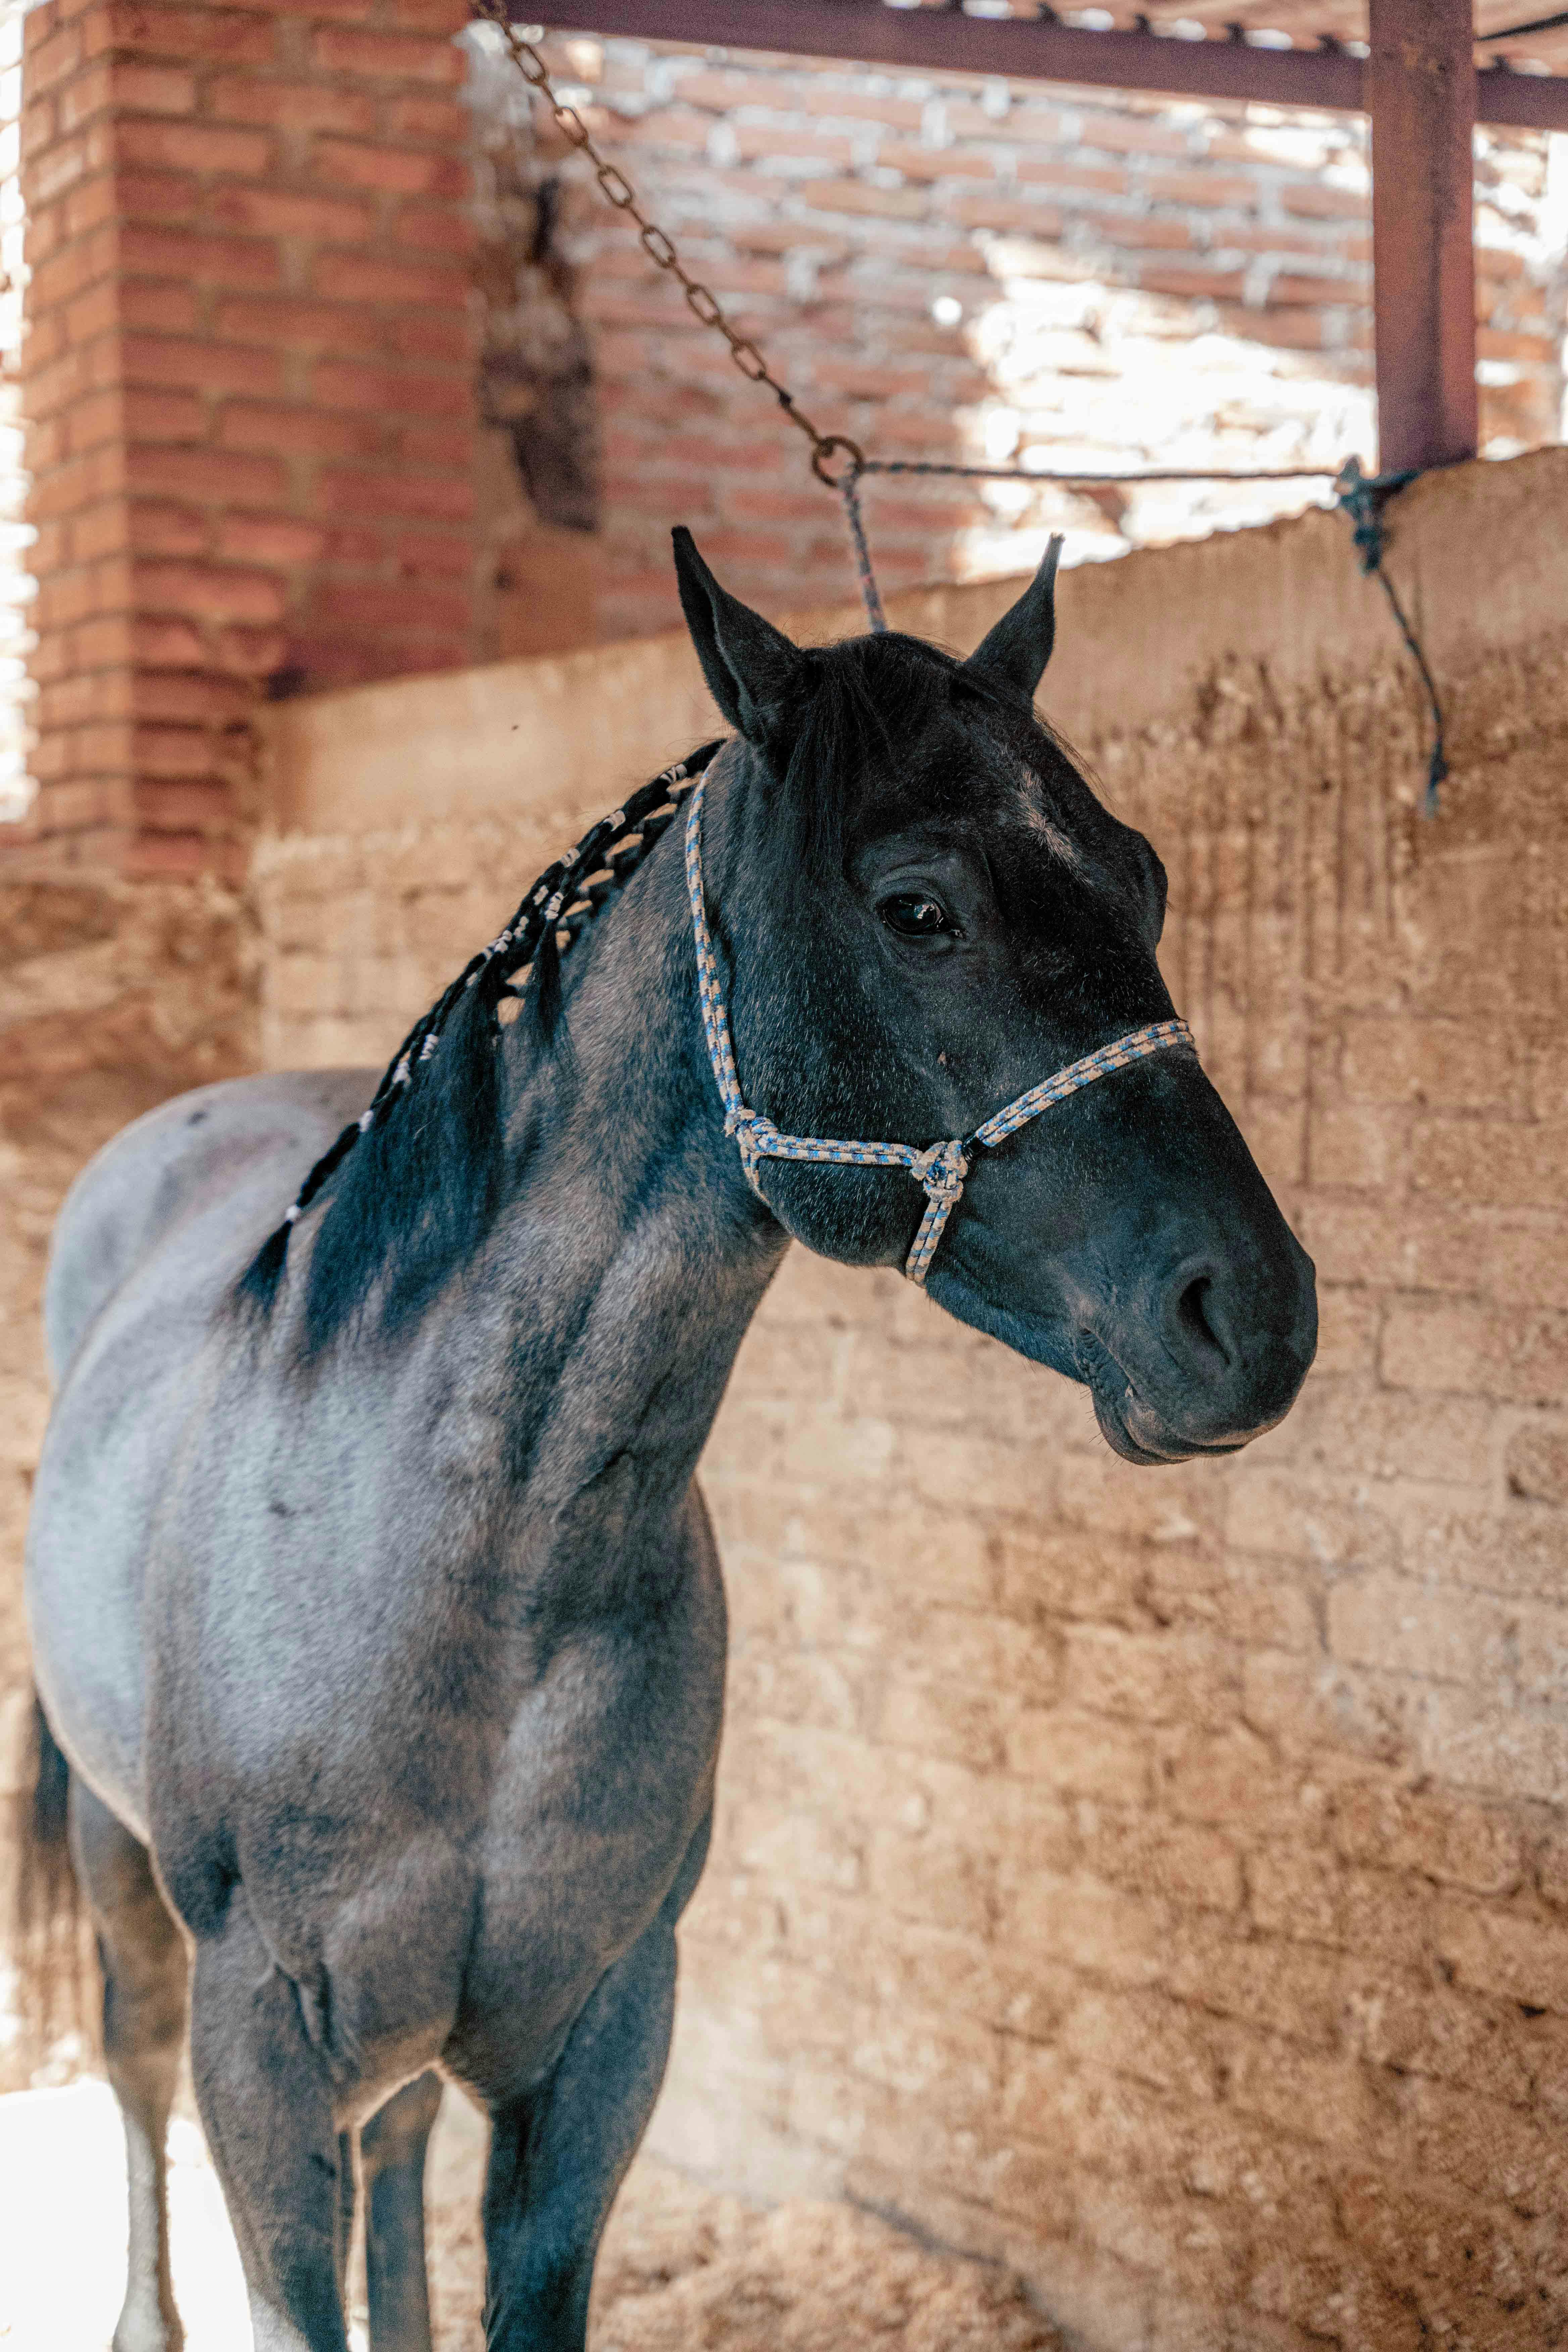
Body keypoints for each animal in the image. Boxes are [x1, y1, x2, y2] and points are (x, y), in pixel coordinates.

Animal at [21, 534, 1316, 2352]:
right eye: (919, 907)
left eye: (1141, 880)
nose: (1249, 1314)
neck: (469, 1571)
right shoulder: (261, 2057)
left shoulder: (600, 2043)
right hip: (119, 1873)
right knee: (133, 2078)